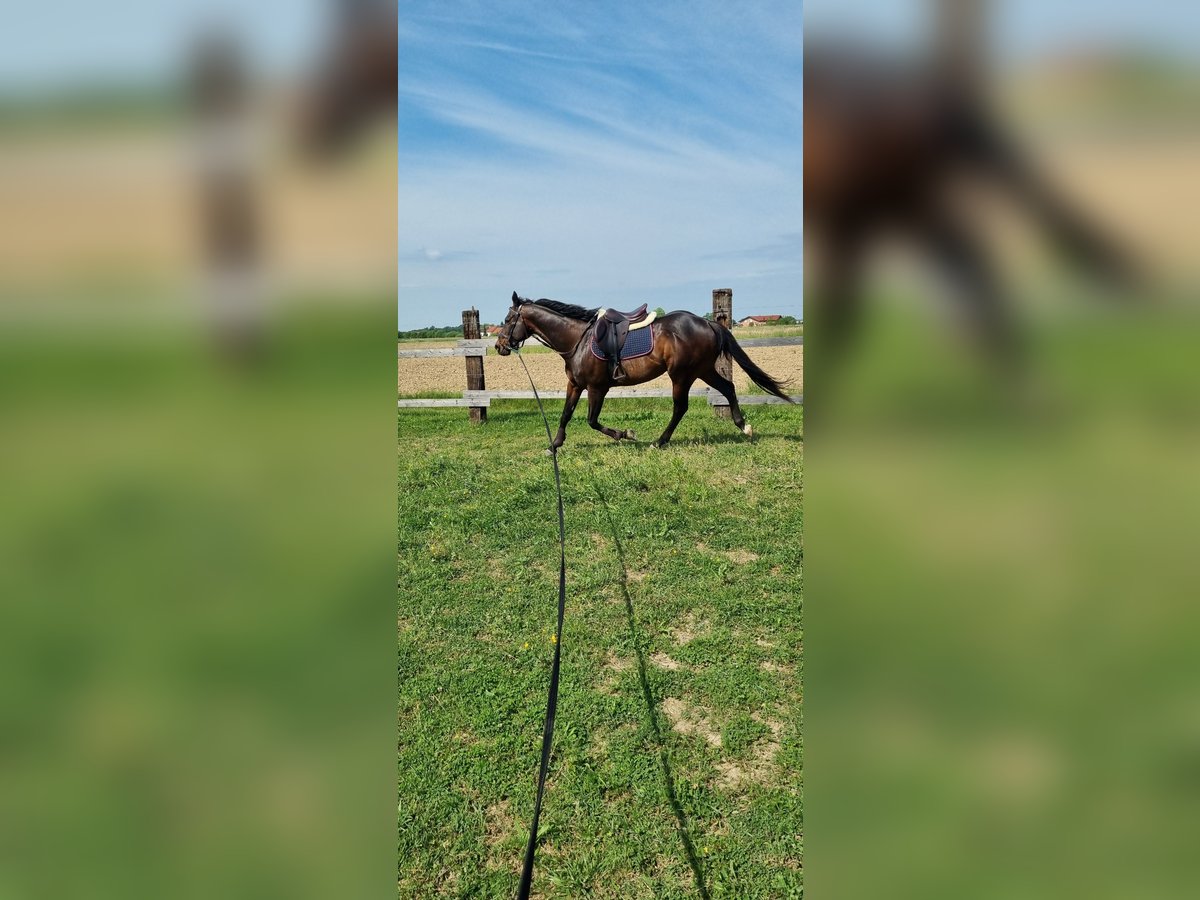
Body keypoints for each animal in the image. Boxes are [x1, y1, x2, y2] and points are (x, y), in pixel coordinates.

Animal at [492, 296, 792, 451]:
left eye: (507, 320)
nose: (499, 346)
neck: (577, 339)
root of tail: (707, 322)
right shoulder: (575, 385)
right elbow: (566, 414)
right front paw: (554, 445)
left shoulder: (597, 388)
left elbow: (591, 420)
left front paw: (625, 434)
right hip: (703, 370)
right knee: (728, 388)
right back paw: (744, 427)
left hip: (682, 375)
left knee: (680, 407)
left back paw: (659, 442)